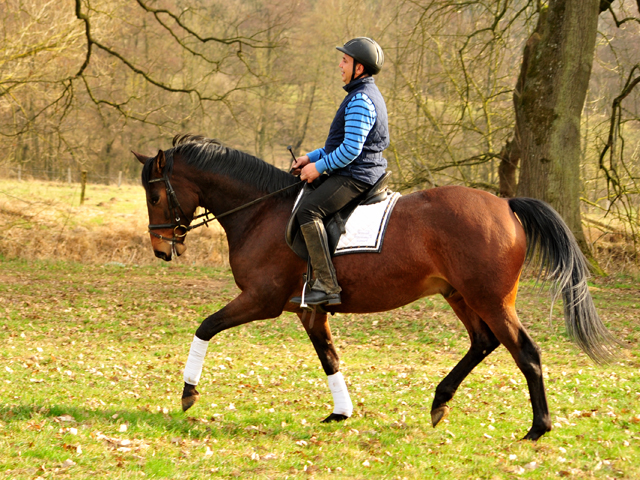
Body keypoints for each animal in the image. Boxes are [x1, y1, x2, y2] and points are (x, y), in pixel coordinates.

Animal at [134, 133, 616, 440]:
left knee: (525, 351)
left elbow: (205, 326)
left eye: (155, 196)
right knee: (483, 342)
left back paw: (538, 428)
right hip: (460, 295)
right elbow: (329, 358)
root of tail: (505, 205)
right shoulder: (309, 310)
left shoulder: (260, 300)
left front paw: (188, 393)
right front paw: (340, 411)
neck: (262, 211)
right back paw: (440, 401)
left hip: (491, 299)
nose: (160, 249)